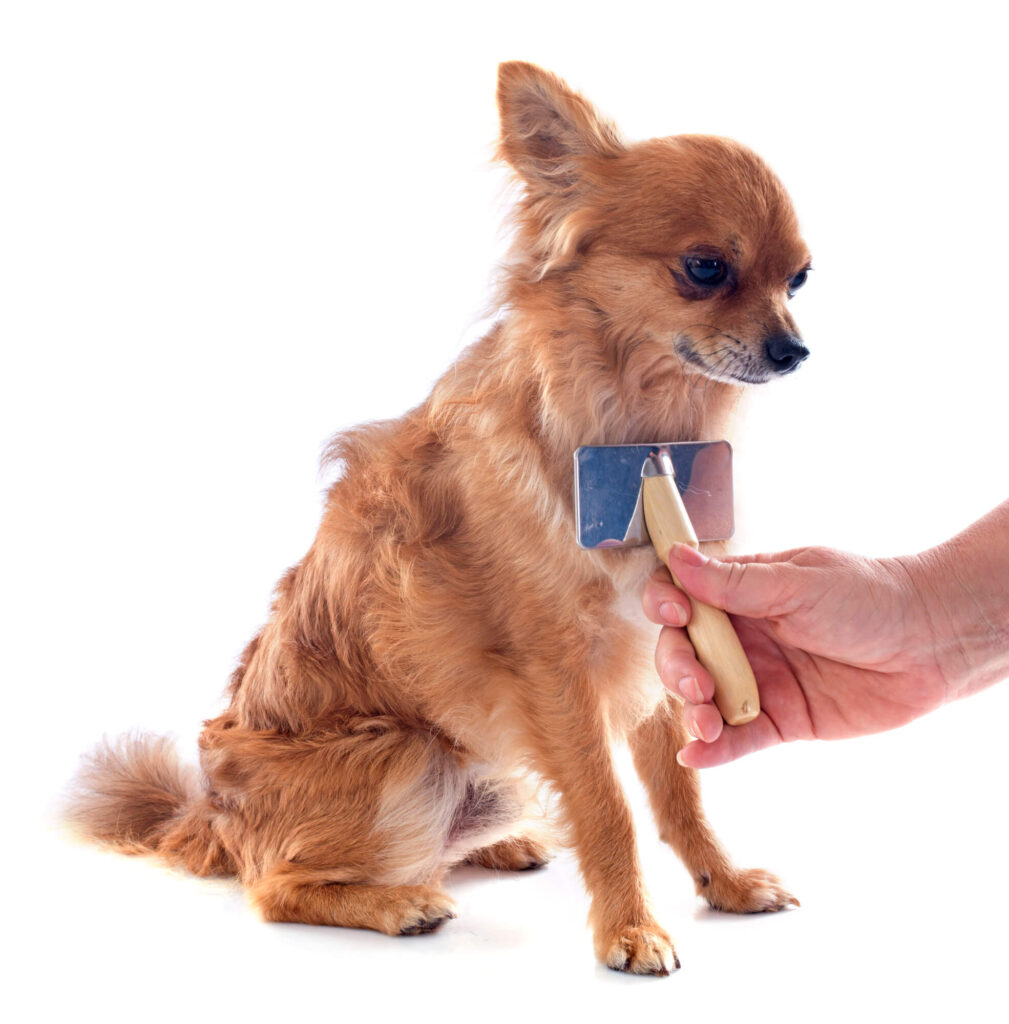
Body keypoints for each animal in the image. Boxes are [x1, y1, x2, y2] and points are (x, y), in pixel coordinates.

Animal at [67, 64, 811, 974]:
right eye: (705, 268)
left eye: (798, 280)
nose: (794, 350)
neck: (637, 427)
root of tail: (206, 818)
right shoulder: (557, 673)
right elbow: (607, 807)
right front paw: (629, 929)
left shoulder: (657, 637)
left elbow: (679, 792)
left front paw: (722, 883)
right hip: (411, 756)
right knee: (274, 887)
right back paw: (397, 904)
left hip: (486, 769)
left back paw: (497, 846)